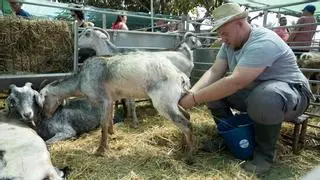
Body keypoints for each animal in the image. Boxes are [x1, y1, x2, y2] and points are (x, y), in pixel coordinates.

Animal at [40, 51, 195, 156]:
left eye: (44, 99)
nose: (45, 115)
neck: (80, 82)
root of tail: (180, 75)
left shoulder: (103, 100)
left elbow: (103, 123)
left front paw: (101, 149)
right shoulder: (111, 99)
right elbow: (110, 117)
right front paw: (112, 133)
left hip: (164, 102)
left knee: (185, 123)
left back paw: (188, 153)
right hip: (174, 100)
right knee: (186, 115)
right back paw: (183, 145)